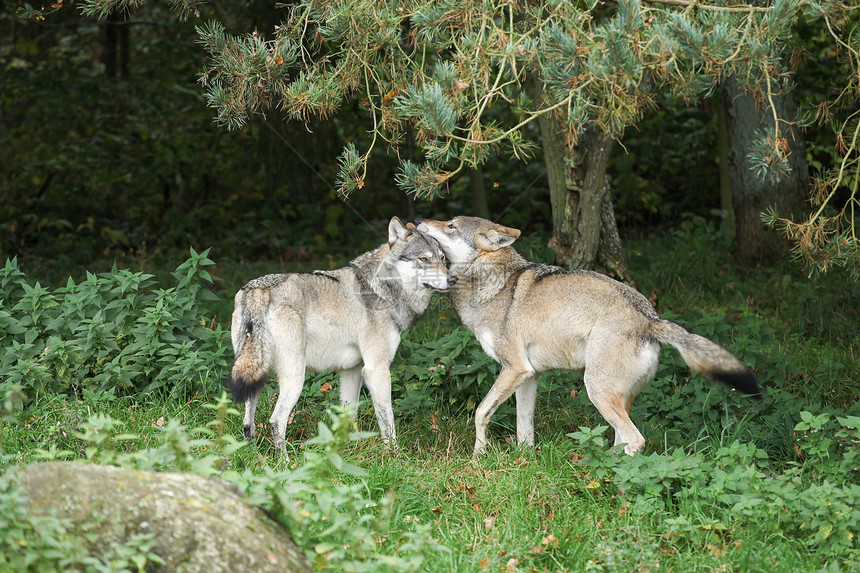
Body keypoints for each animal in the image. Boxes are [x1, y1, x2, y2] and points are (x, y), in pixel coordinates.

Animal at [228, 217, 456, 454]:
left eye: (442, 258)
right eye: (423, 259)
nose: (453, 279)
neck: (383, 288)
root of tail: (257, 290)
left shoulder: (352, 370)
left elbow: (349, 415)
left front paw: (350, 450)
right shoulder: (377, 370)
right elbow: (388, 421)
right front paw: (394, 454)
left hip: (254, 376)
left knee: (248, 422)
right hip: (295, 377)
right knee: (276, 420)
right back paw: (284, 460)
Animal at [416, 216, 760, 456]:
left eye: (450, 225)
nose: (419, 221)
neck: (488, 280)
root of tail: (650, 318)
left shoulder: (514, 369)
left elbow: (480, 413)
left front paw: (478, 458)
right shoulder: (528, 376)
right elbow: (524, 429)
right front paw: (522, 461)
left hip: (596, 390)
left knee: (635, 440)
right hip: (616, 398)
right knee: (623, 439)